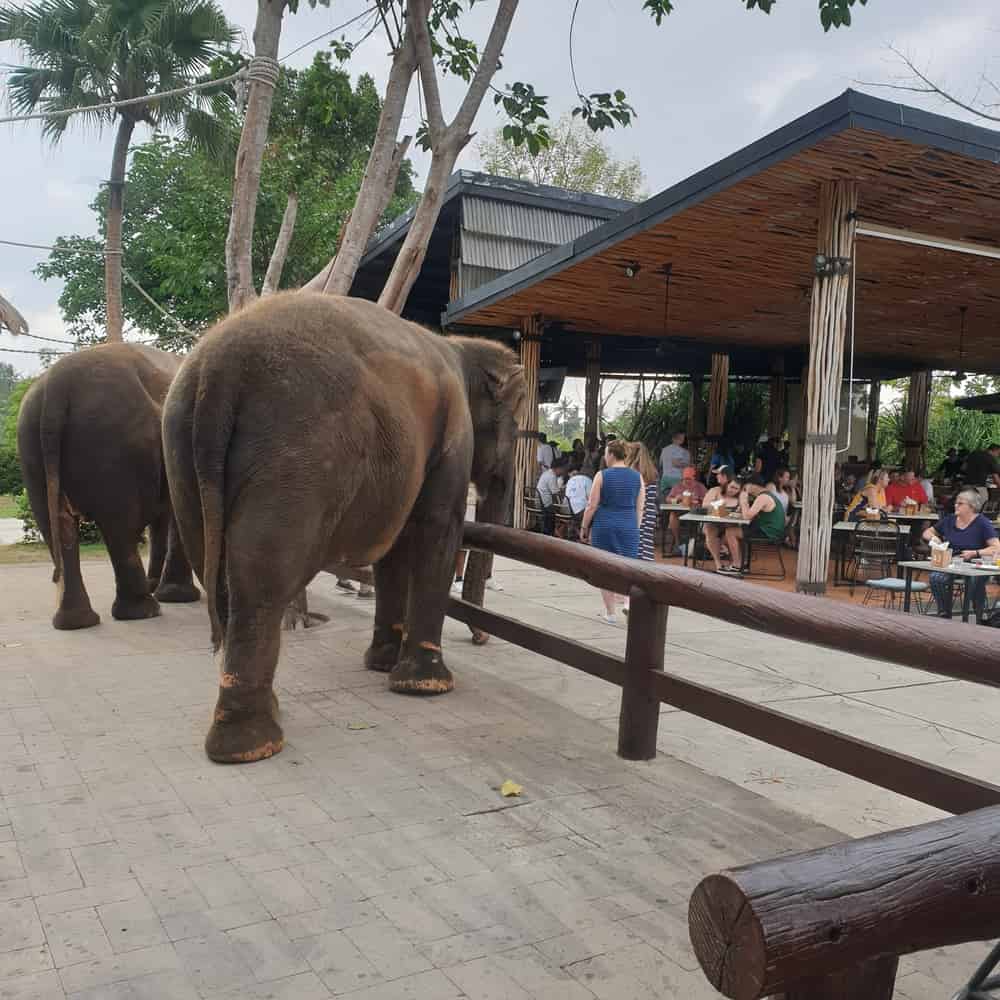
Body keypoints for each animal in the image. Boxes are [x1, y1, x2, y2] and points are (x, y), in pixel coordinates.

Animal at [16, 340, 200, 628]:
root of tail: (57, 384)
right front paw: (177, 597)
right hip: (112, 444)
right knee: (119, 525)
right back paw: (144, 611)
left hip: (31, 446)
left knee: (55, 523)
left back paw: (77, 622)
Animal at [162, 292, 524, 760]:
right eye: (517, 428)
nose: (481, 640)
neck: (460, 344)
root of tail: (215, 374)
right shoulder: (453, 433)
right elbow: (436, 528)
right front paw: (426, 686)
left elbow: (395, 548)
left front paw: (382, 665)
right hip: (294, 458)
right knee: (259, 584)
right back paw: (252, 746)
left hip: (181, 456)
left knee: (216, 569)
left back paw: (263, 717)